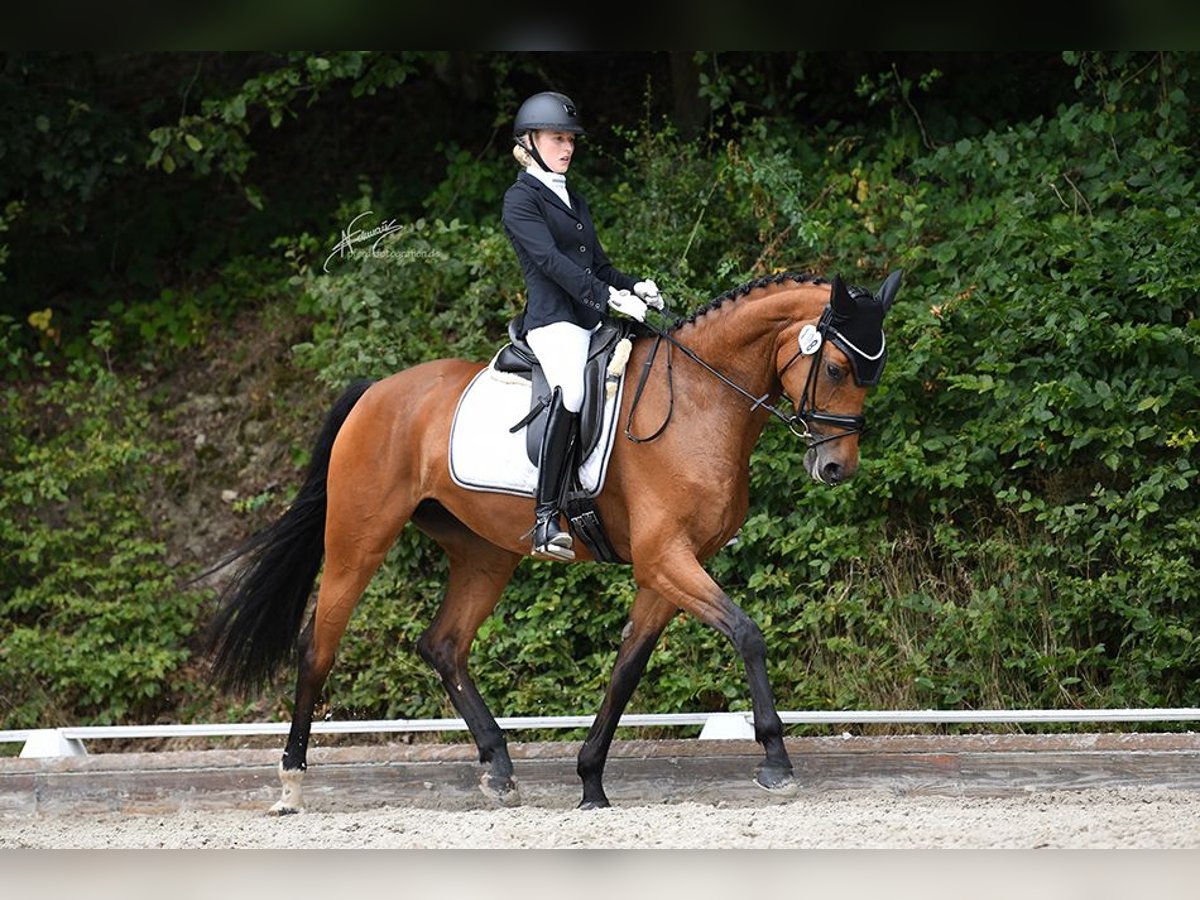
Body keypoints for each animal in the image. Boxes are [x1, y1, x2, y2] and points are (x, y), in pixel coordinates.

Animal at [206, 266, 902, 811]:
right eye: (836, 366)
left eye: (874, 374)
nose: (836, 468)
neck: (701, 400)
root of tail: (375, 391)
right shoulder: (666, 558)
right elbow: (747, 634)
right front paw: (776, 761)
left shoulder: (667, 568)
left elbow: (628, 668)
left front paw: (591, 781)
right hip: (359, 539)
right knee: (317, 647)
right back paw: (292, 784)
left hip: (484, 554)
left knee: (444, 644)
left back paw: (499, 769)